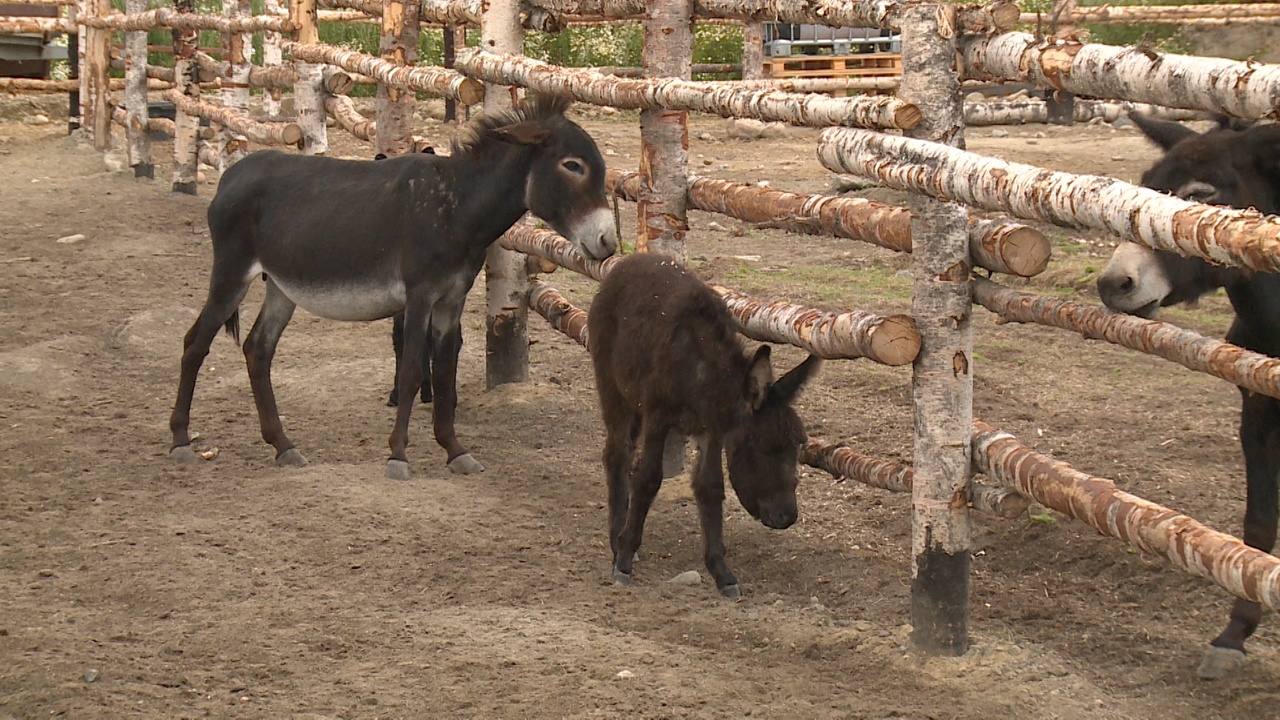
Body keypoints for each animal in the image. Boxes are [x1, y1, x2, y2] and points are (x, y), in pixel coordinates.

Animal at [170, 94, 619, 476]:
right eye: (573, 165)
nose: (608, 243)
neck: (454, 205)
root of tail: (231, 174)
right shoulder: (419, 295)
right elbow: (411, 371)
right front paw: (398, 455)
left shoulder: (451, 300)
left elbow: (445, 372)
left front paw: (455, 451)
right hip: (232, 272)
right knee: (195, 342)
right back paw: (181, 442)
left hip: (282, 287)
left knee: (257, 349)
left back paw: (284, 446)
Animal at [586, 252, 819, 594]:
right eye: (761, 449)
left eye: (798, 446)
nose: (787, 517)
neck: (702, 374)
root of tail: (632, 260)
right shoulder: (658, 417)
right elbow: (648, 479)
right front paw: (625, 558)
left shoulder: (712, 429)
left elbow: (710, 487)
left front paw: (721, 571)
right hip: (613, 387)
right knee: (617, 454)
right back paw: (617, 540)